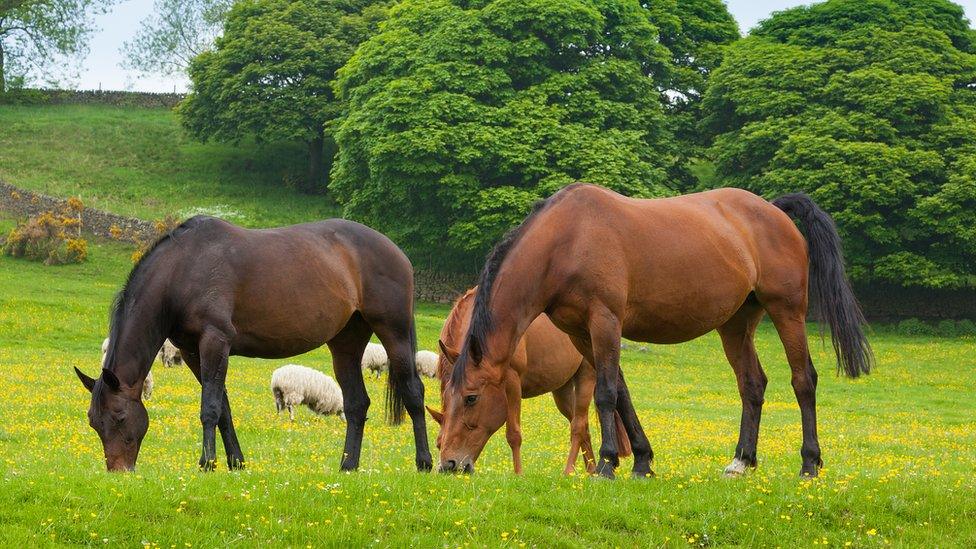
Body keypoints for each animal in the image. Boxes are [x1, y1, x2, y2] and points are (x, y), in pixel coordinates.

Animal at [72, 216, 430, 474]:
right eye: (93, 422)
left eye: (119, 417)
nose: (119, 470)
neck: (184, 268)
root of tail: (397, 251)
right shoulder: (192, 351)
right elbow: (224, 408)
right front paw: (235, 462)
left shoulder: (215, 341)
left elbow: (210, 407)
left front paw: (206, 464)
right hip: (346, 343)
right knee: (356, 404)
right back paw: (347, 466)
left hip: (394, 332)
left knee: (413, 392)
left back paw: (426, 462)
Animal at [428, 288, 632, 474]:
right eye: (438, 443)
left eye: (471, 398)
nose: (449, 465)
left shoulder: (512, 383)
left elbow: (513, 434)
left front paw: (519, 474)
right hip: (562, 391)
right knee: (583, 427)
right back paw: (590, 471)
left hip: (586, 378)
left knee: (578, 425)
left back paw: (569, 472)